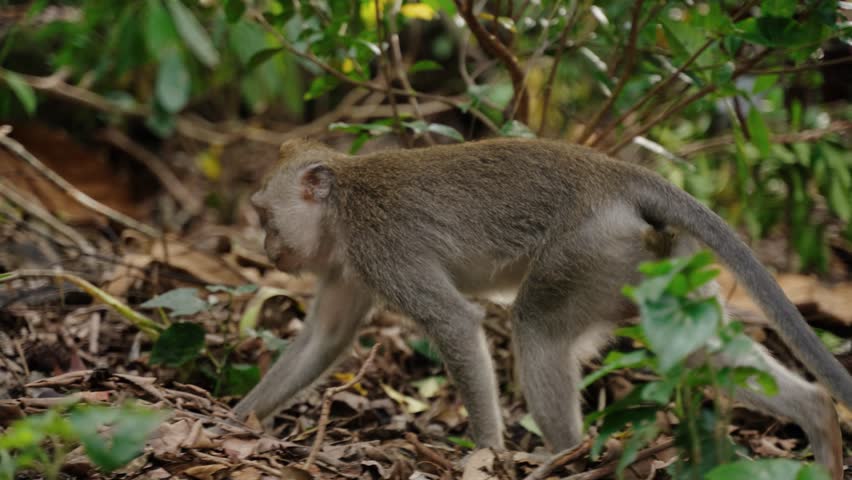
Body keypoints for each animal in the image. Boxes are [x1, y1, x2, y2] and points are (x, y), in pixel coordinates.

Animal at [235, 138, 850, 478]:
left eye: (264, 216)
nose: (266, 247)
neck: (342, 204)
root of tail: (619, 176)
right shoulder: (347, 263)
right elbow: (325, 338)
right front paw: (237, 419)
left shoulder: (378, 246)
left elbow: (455, 323)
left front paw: (485, 455)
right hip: (661, 263)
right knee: (701, 348)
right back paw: (818, 418)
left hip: (589, 250)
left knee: (536, 330)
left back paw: (566, 458)